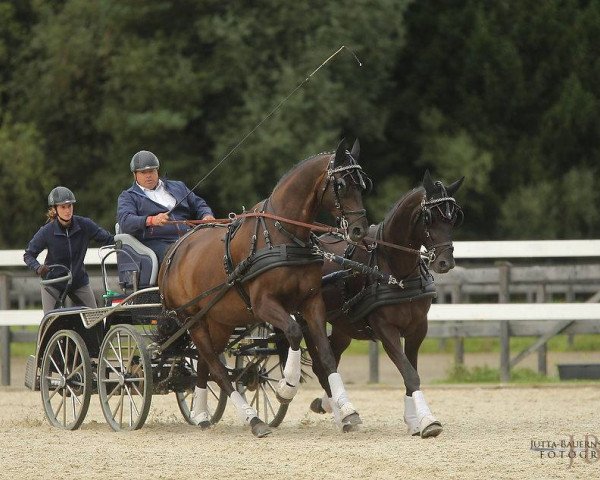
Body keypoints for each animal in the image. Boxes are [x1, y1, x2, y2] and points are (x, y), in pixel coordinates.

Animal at [156, 139, 370, 436]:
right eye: (340, 185)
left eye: (362, 184)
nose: (359, 230)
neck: (283, 235)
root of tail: (175, 249)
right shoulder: (264, 305)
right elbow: (293, 333)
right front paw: (286, 387)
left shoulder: (311, 303)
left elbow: (326, 358)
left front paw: (348, 412)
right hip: (192, 319)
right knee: (216, 367)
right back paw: (253, 419)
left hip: (218, 320)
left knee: (205, 364)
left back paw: (201, 415)